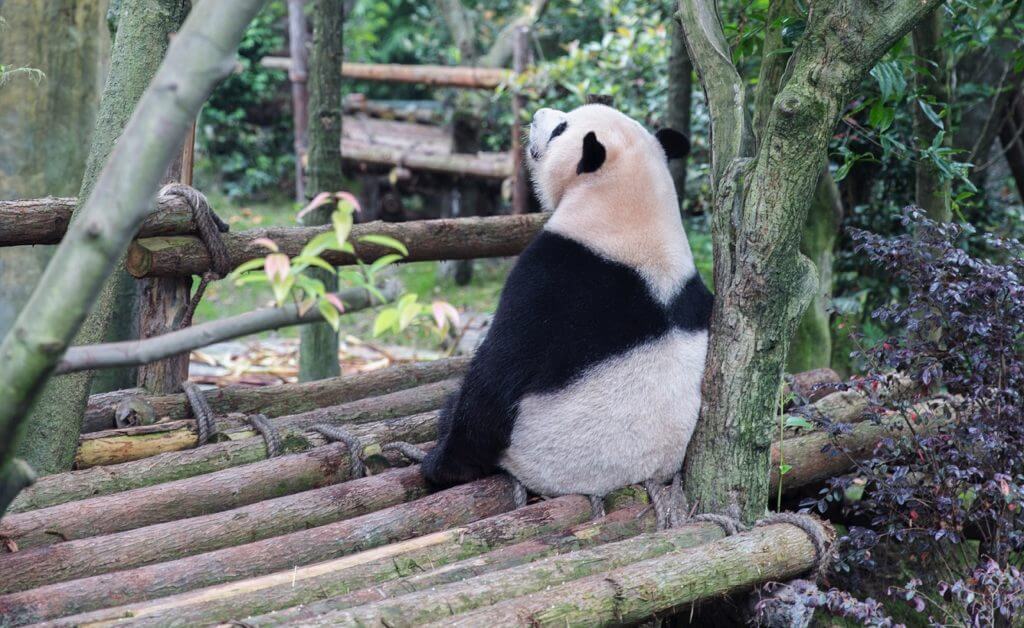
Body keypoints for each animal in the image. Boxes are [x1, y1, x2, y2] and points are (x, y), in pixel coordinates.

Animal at [422, 103, 712, 527]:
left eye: (560, 128)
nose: (537, 114)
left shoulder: (550, 279)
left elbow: (495, 375)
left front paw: (442, 467)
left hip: (531, 449)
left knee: (462, 406)